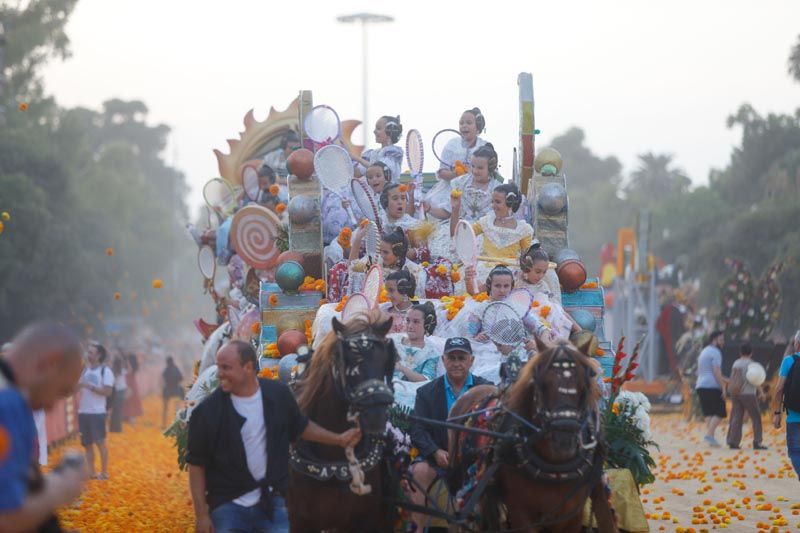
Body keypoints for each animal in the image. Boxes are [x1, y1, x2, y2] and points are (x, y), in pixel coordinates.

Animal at [446, 338, 616, 528]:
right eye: (541, 382)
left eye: (586, 382)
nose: (564, 438)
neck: (555, 467)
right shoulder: (521, 512)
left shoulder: (572, 514)